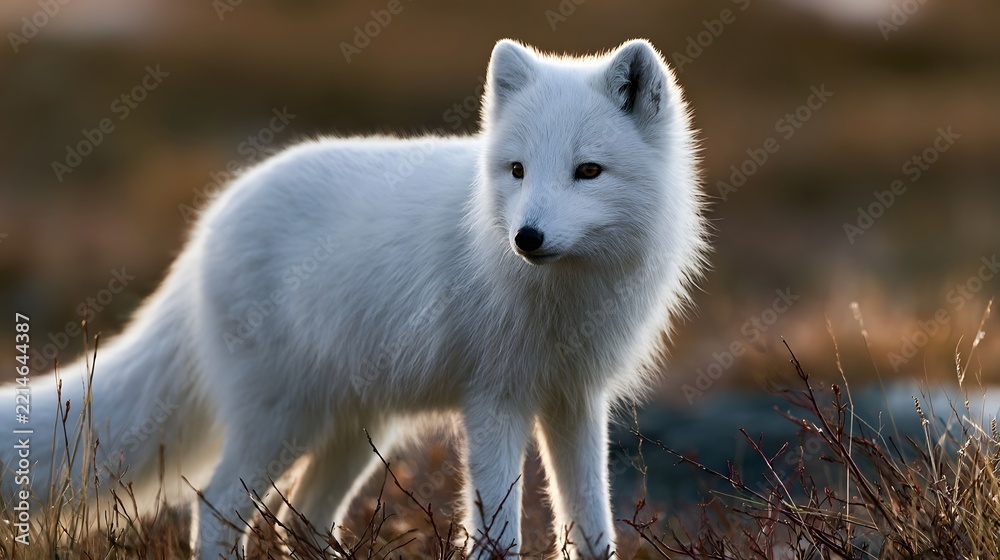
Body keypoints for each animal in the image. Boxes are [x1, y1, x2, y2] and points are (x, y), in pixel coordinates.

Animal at [0, 39, 708, 558]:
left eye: (588, 171)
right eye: (518, 170)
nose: (526, 237)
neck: (564, 297)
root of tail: (207, 226)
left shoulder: (574, 398)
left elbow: (593, 529)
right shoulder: (495, 400)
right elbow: (498, 535)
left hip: (355, 427)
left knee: (298, 522)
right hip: (283, 419)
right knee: (215, 509)